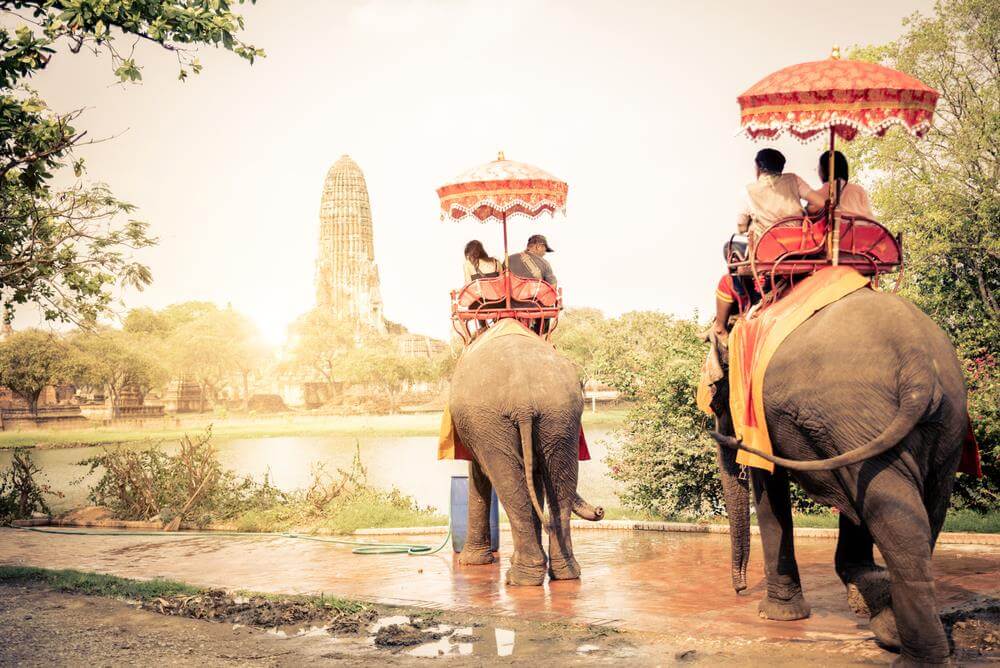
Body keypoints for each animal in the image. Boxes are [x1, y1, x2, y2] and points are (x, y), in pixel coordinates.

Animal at [450, 326, 604, 588]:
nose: (601, 510)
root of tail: (522, 400)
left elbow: (480, 472)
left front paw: (470, 563)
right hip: (559, 416)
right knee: (559, 479)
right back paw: (563, 573)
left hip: (493, 421)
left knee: (508, 481)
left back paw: (519, 578)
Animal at [704, 288, 968, 668]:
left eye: (717, 403)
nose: (739, 590)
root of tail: (918, 364)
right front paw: (863, 586)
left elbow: (769, 488)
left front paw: (777, 615)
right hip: (937, 424)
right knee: (916, 509)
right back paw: (890, 628)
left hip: (855, 412)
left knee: (889, 510)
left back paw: (909, 654)